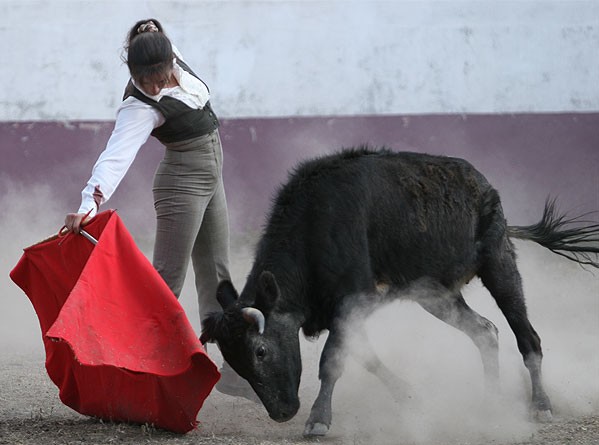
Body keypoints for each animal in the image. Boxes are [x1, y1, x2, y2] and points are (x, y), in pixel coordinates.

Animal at [203, 147, 599, 436]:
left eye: (260, 351)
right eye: (232, 359)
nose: (283, 413)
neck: (315, 225)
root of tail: (483, 184)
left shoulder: (351, 300)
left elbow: (332, 360)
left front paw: (318, 420)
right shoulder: (345, 311)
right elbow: (365, 356)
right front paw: (410, 396)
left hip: (499, 263)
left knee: (527, 337)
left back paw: (541, 406)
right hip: (436, 295)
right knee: (486, 331)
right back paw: (491, 403)